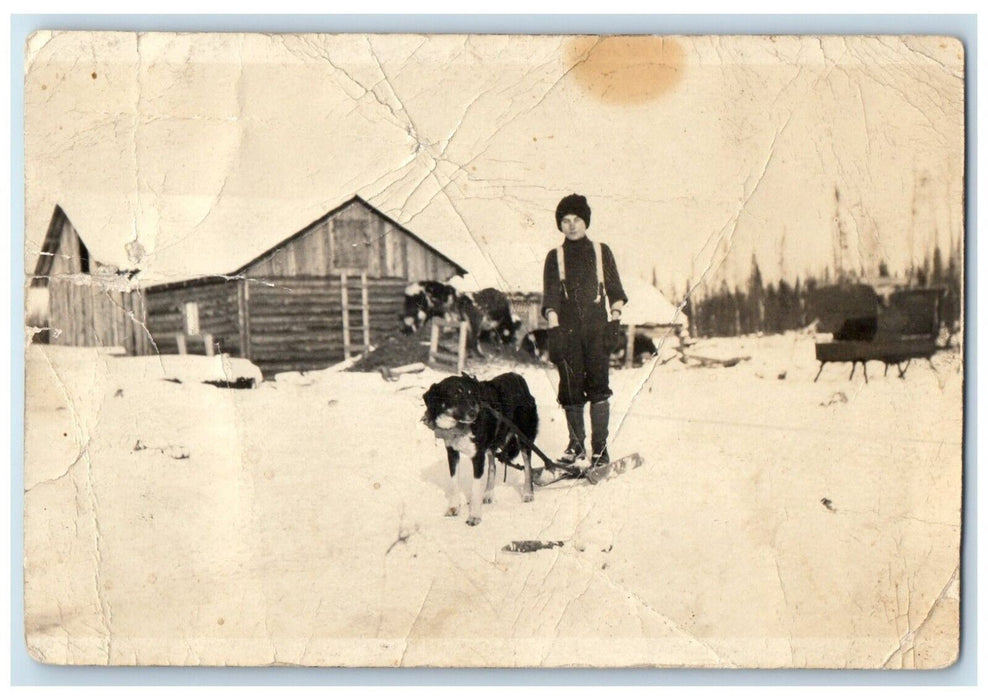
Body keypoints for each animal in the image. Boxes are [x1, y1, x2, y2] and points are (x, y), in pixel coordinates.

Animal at [418, 372, 536, 524]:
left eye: (471, 393)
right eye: (455, 395)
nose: (473, 413)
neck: (459, 427)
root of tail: (517, 376)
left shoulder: (478, 456)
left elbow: (475, 489)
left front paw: (474, 516)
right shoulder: (452, 453)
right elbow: (454, 483)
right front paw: (453, 508)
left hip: (524, 438)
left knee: (528, 467)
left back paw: (528, 493)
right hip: (491, 444)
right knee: (492, 467)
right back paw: (488, 494)